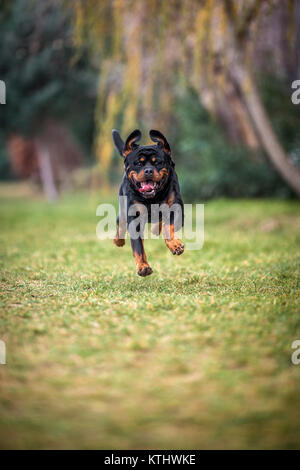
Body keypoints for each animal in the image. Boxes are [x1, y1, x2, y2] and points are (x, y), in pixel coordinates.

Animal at [112, 129, 184, 276]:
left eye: (158, 163)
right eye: (138, 163)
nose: (149, 170)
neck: (152, 198)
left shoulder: (177, 208)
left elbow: (168, 227)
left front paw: (175, 245)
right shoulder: (134, 219)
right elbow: (138, 246)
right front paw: (143, 266)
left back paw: (156, 228)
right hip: (123, 210)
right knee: (121, 224)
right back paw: (118, 240)